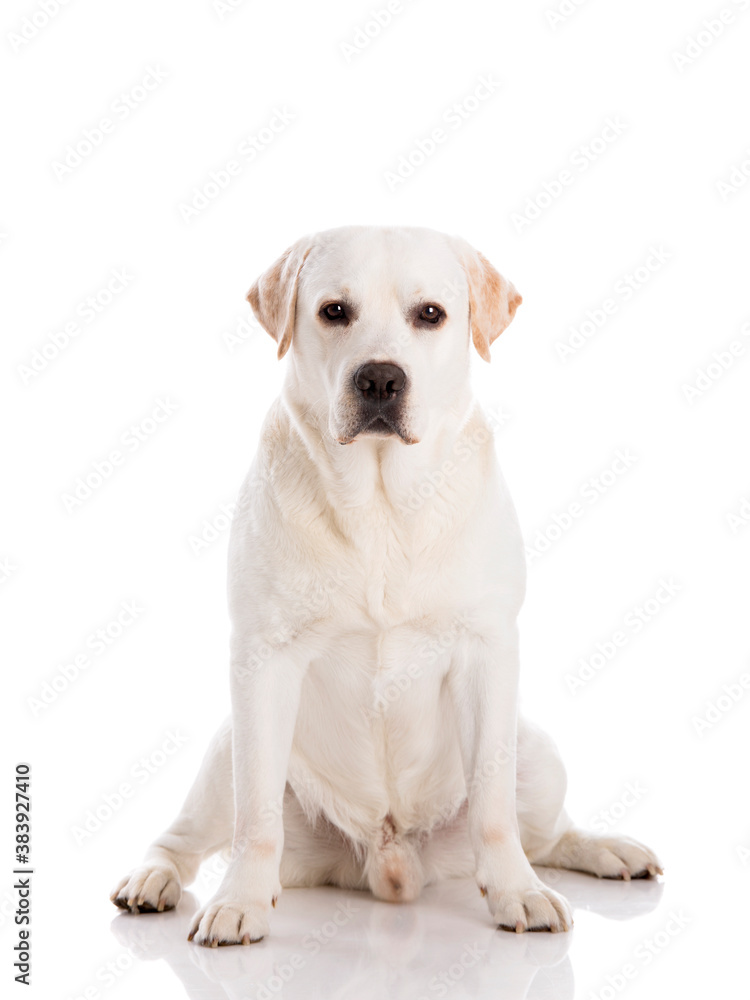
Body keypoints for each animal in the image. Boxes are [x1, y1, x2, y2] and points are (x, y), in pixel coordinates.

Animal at [108, 225, 660, 944]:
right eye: (334, 311)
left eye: (430, 314)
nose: (378, 377)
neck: (379, 506)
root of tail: (389, 856)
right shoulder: (262, 660)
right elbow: (255, 817)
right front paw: (240, 902)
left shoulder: (487, 653)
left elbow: (494, 811)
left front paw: (517, 894)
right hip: (225, 749)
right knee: (186, 835)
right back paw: (153, 879)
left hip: (536, 754)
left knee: (545, 834)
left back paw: (607, 850)